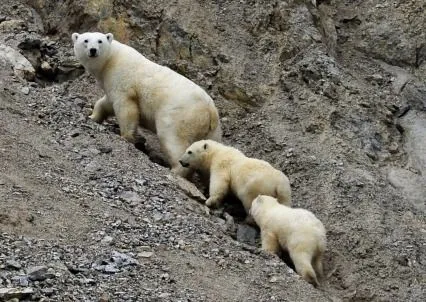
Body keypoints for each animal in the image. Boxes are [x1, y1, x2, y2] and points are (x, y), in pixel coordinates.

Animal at [71, 31, 221, 176]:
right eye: (85, 40)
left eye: (100, 41)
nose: (93, 50)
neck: (110, 60)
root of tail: (210, 109)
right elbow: (106, 103)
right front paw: (92, 116)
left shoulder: (122, 78)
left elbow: (125, 106)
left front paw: (126, 136)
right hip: (212, 130)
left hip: (180, 115)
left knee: (172, 139)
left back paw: (176, 170)